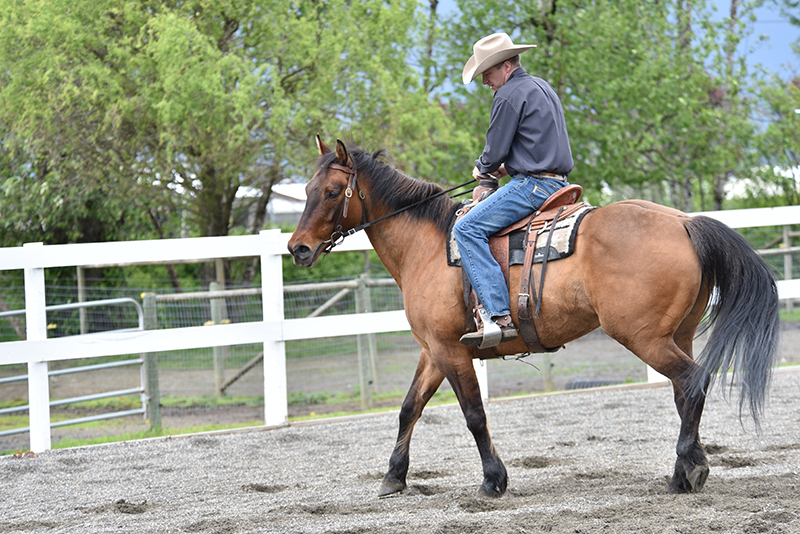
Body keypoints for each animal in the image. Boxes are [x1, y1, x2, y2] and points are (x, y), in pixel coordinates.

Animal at [288, 136, 780, 498]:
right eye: (307, 191)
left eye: (331, 192)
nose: (298, 249)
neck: (426, 246)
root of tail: (682, 222)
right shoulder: (433, 350)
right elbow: (410, 408)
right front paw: (393, 477)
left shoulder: (451, 351)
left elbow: (473, 414)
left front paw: (493, 480)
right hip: (679, 333)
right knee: (685, 391)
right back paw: (686, 469)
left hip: (645, 337)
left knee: (692, 381)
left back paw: (686, 472)